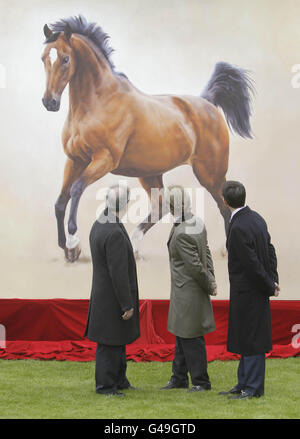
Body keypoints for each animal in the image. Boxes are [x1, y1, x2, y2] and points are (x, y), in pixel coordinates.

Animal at [41, 15, 254, 262]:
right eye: (44, 58)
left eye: (65, 58)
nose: (49, 102)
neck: (98, 102)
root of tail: (208, 101)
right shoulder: (75, 160)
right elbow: (60, 201)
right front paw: (67, 249)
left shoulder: (104, 160)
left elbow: (75, 190)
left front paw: (74, 243)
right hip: (150, 173)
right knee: (160, 207)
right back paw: (134, 246)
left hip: (209, 173)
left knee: (224, 206)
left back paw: (227, 249)